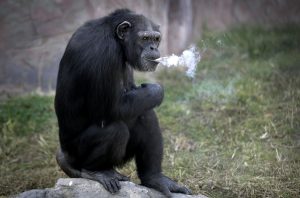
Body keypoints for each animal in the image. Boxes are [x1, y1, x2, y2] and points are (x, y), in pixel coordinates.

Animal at [54, 8, 191, 197]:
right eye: (145, 38)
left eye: (156, 39)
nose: (153, 47)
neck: (116, 38)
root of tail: (65, 156)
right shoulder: (105, 53)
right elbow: (114, 108)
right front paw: (156, 90)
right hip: (77, 154)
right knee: (115, 131)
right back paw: (97, 171)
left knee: (146, 115)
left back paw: (155, 179)